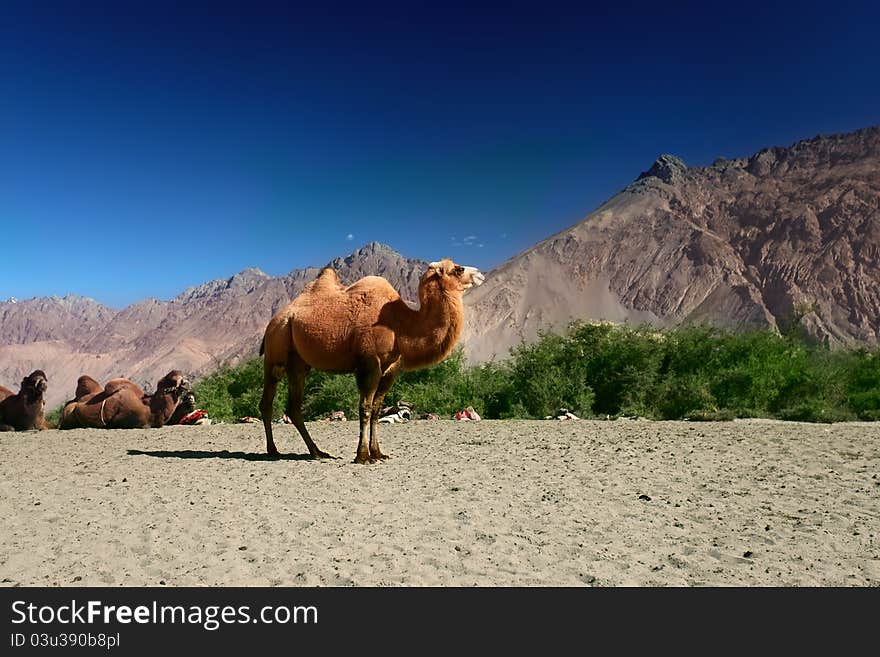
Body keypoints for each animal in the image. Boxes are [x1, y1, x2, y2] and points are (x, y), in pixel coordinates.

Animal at [258, 258, 484, 464]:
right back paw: (278, 450)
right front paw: (363, 456)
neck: (400, 325)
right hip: (275, 351)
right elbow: (365, 409)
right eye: (458, 269)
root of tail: (275, 320)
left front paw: (378, 453)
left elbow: (376, 410)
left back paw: (316, 452)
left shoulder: (390, 369)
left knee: (291, 407)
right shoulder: (369, 363)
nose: (480, 274)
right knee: (270, 403)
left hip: (299, 363)